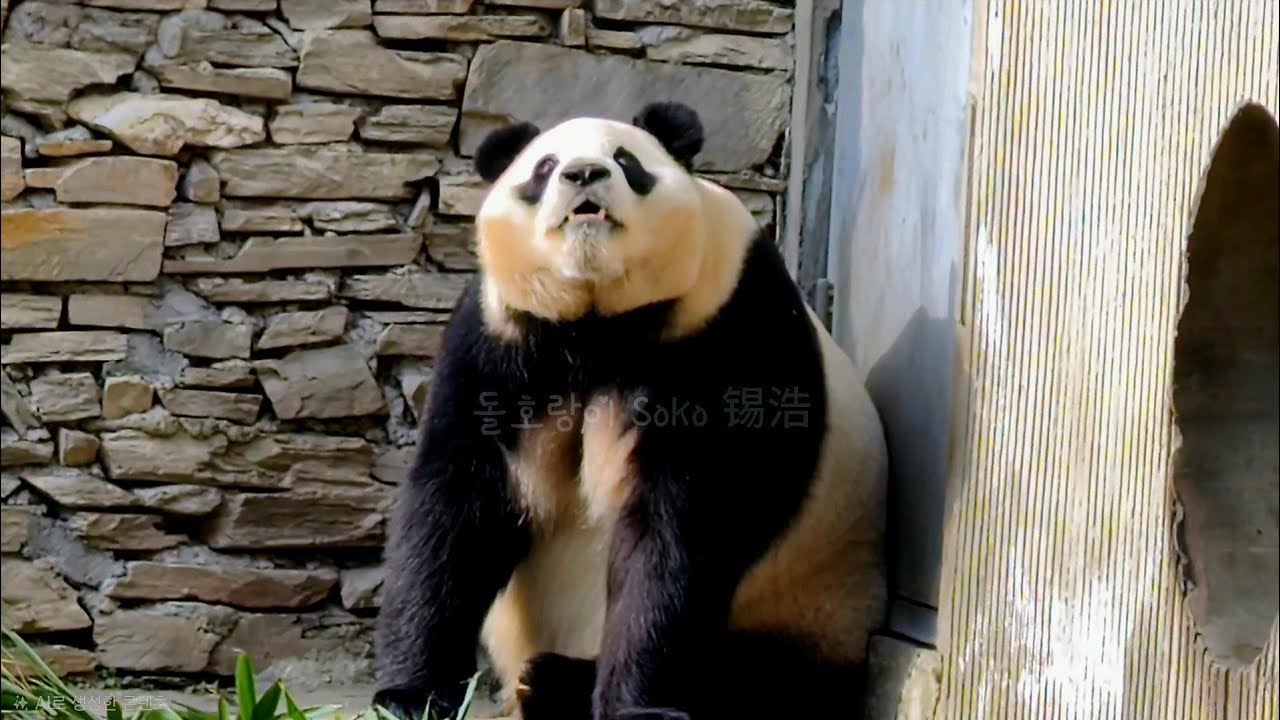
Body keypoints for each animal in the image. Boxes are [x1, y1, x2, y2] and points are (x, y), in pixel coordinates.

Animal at [372, 102, 888, 720]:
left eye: (626, 160)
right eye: (544, 167)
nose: (583, 174)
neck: (598, 324)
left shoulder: (726, 326)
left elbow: (681, 526)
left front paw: (636, 705)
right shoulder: (499, 340)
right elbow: (455, 503)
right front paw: (411, 694)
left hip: (814, 606)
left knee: (761, 680)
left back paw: (555, 680)